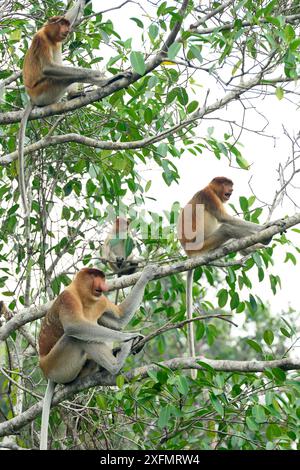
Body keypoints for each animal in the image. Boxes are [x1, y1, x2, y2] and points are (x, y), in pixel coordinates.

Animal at [177, 176, 274, 378]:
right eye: (226, 184)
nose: (232, 189)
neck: (211, 188)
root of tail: (190, 254)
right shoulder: (209, 197)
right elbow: (225, 218)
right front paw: (267, 227)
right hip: (204, 245)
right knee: (227, 228)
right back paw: (264, 239)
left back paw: (249, 249)